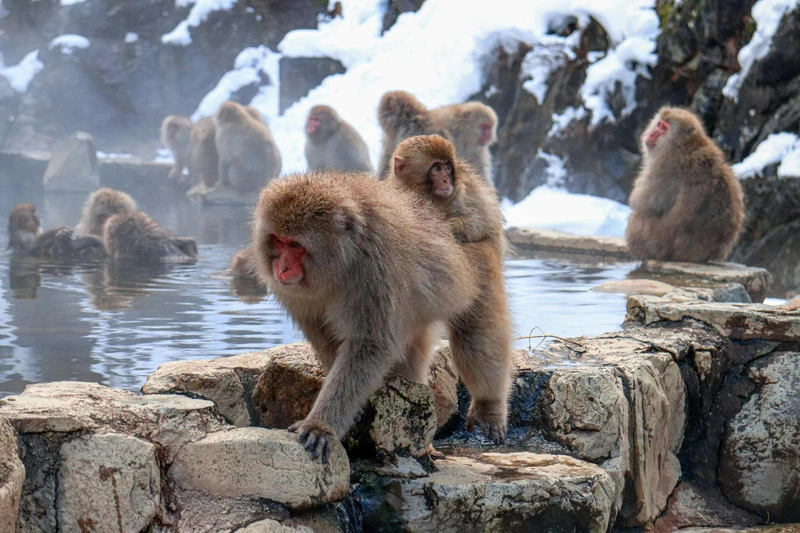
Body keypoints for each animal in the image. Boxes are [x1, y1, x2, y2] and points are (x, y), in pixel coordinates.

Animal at [251, 171, 490, 462]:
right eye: (278, 240)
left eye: (296, 244)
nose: (282, 268)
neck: (341, 262)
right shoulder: (295, 292)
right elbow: (322, 335)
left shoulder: (374, 269)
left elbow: (370, 344)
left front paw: (321, 425)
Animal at [387, 135, 512, 444]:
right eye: (435, 168)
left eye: (446, 167)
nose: (446, 178)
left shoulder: (465, 192)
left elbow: (480, 221)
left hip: (482, 267)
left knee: (479, 330)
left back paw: (489, 406)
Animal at [625, 107, 745, 263]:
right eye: (659, 124)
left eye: (664, 128)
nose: (651, 134)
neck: (684, 145)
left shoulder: (662, 169)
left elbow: (641, 203)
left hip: (655, 242)